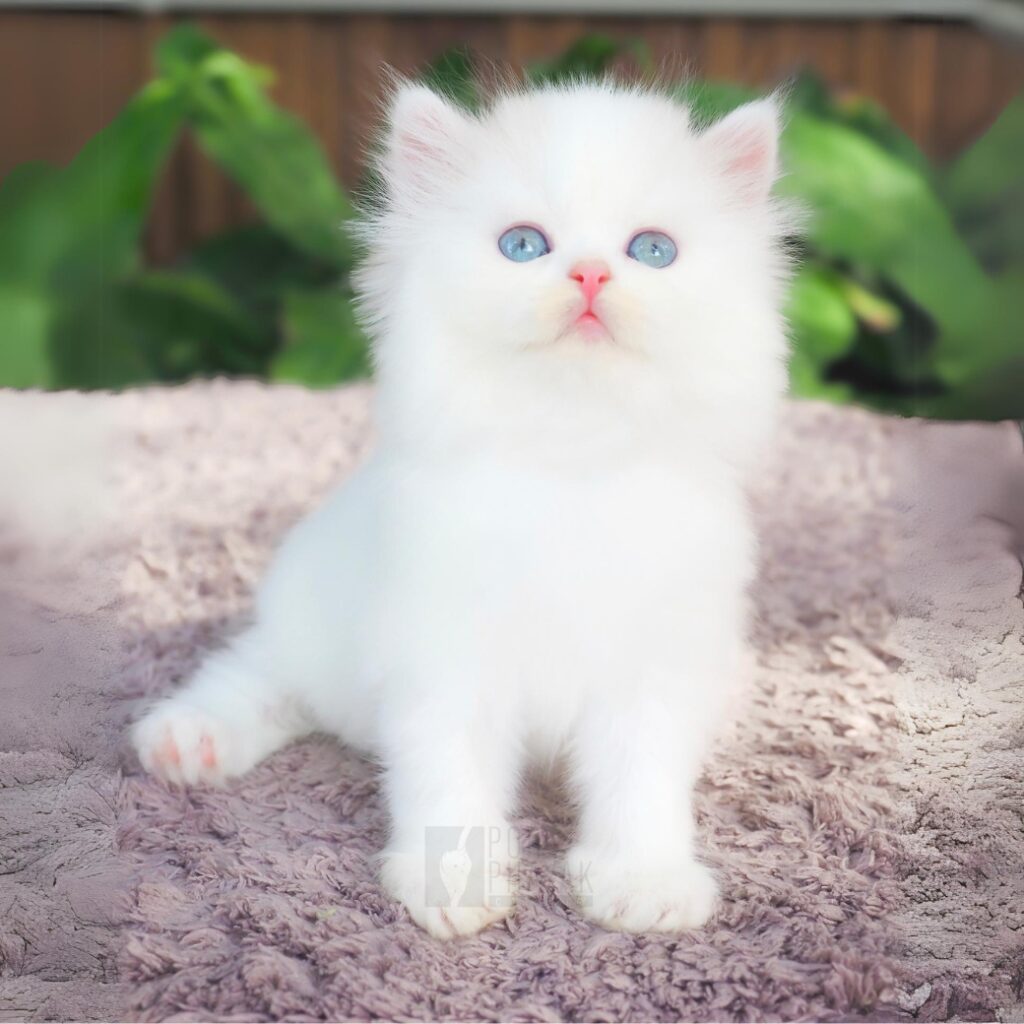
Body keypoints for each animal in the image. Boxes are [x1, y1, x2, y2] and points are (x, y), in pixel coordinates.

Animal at [134, 81, 790, 937]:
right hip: (308, 625)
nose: (589, 275)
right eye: (524, 246)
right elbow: (449, 780)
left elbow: (639, 783)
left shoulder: (656, 665)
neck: (570, 454)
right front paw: (453, 884)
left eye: (652, 252)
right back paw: (189, 742)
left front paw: (643, 883)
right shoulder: (443, 653)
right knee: (257, 675)